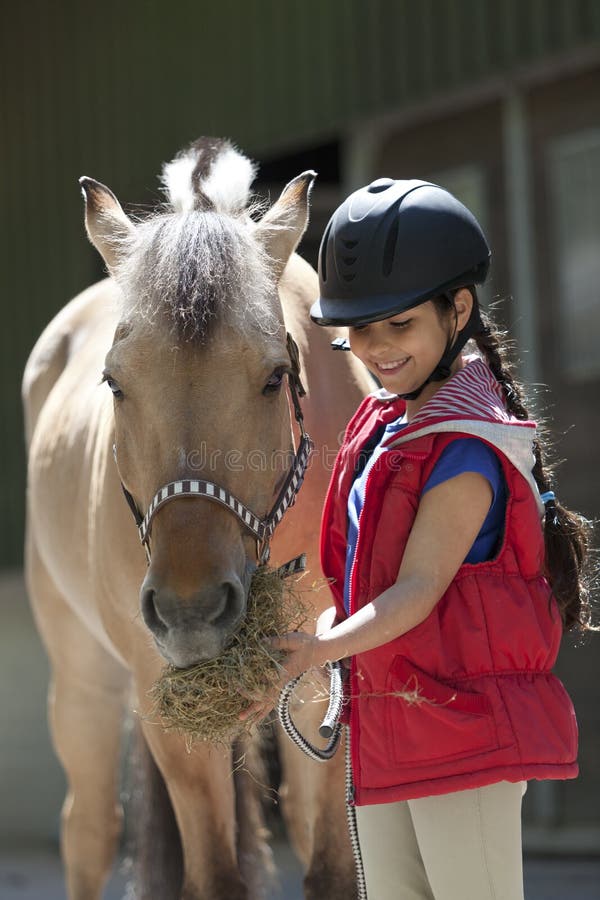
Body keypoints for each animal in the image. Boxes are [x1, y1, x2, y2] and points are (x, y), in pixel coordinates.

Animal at [23, 139, 370, 900]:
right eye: (114, 383)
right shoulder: (165, 708)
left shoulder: (323, 684)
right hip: (83, 679)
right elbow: (214, 876)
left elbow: (333, 868)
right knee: (87, 831)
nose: (191, 610)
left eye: (274, 377)